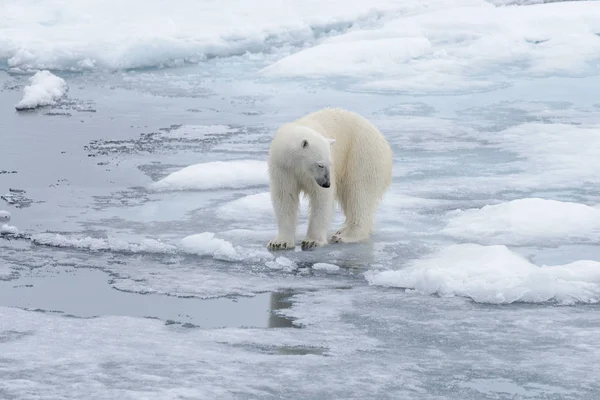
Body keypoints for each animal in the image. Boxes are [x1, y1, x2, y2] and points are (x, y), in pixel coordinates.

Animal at [268, 106, 394, 250]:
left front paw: (312, 241)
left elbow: (321, 198)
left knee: (360, 193)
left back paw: (346, 236)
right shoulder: (282, 168)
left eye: (329, 163)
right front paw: (279, 242)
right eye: (320, 164)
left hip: (362, 155)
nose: (327, 183)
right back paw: (342, 230)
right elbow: (285, 197)